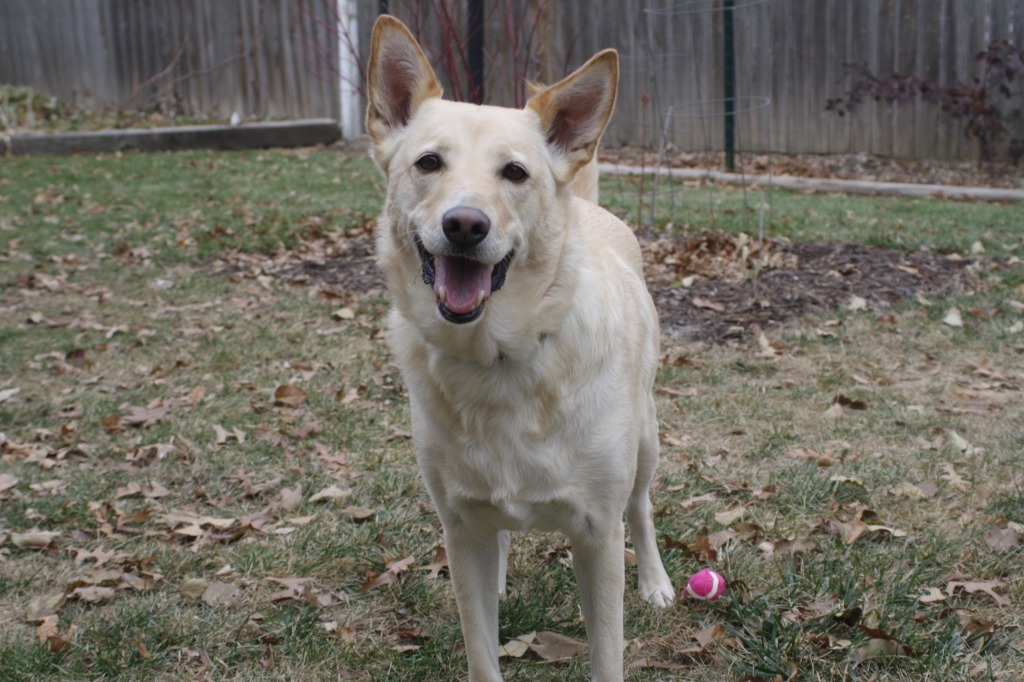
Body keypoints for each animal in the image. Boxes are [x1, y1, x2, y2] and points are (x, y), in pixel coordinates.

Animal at [366, 14, 671, 675]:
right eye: (429, 162)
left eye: (515, 173)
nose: (464, 224)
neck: (501, 357)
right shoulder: (458, 525)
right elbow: (482, 650)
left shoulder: (597, 534)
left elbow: (607, 654)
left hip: (646, 440)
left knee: (642, 507)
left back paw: (658, 582)